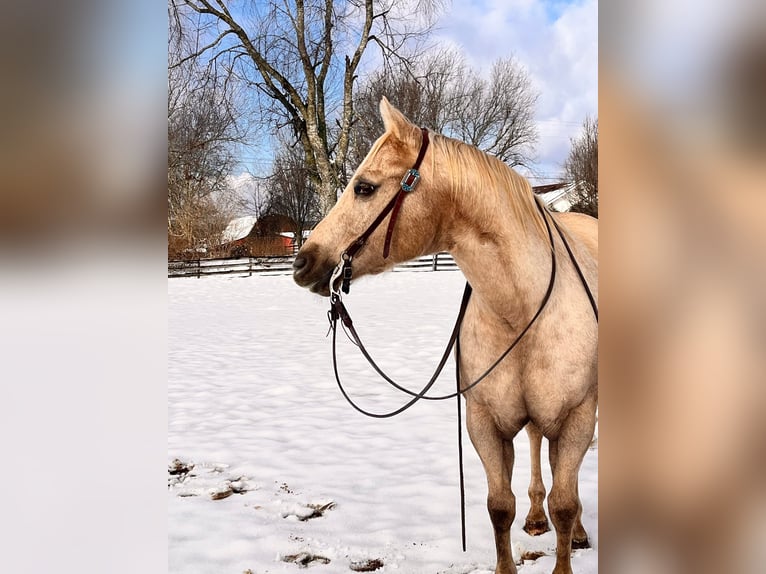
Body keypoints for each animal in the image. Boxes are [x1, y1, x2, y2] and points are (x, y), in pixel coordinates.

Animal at [294, 99, 600, 574]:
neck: (521, 308)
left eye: (364, 188)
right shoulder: (484, 423)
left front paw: (572, 533)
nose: (302, 262)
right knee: (535, 445)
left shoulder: (577, 418)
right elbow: (500, 507)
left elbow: (566, 504)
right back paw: (536, 517)